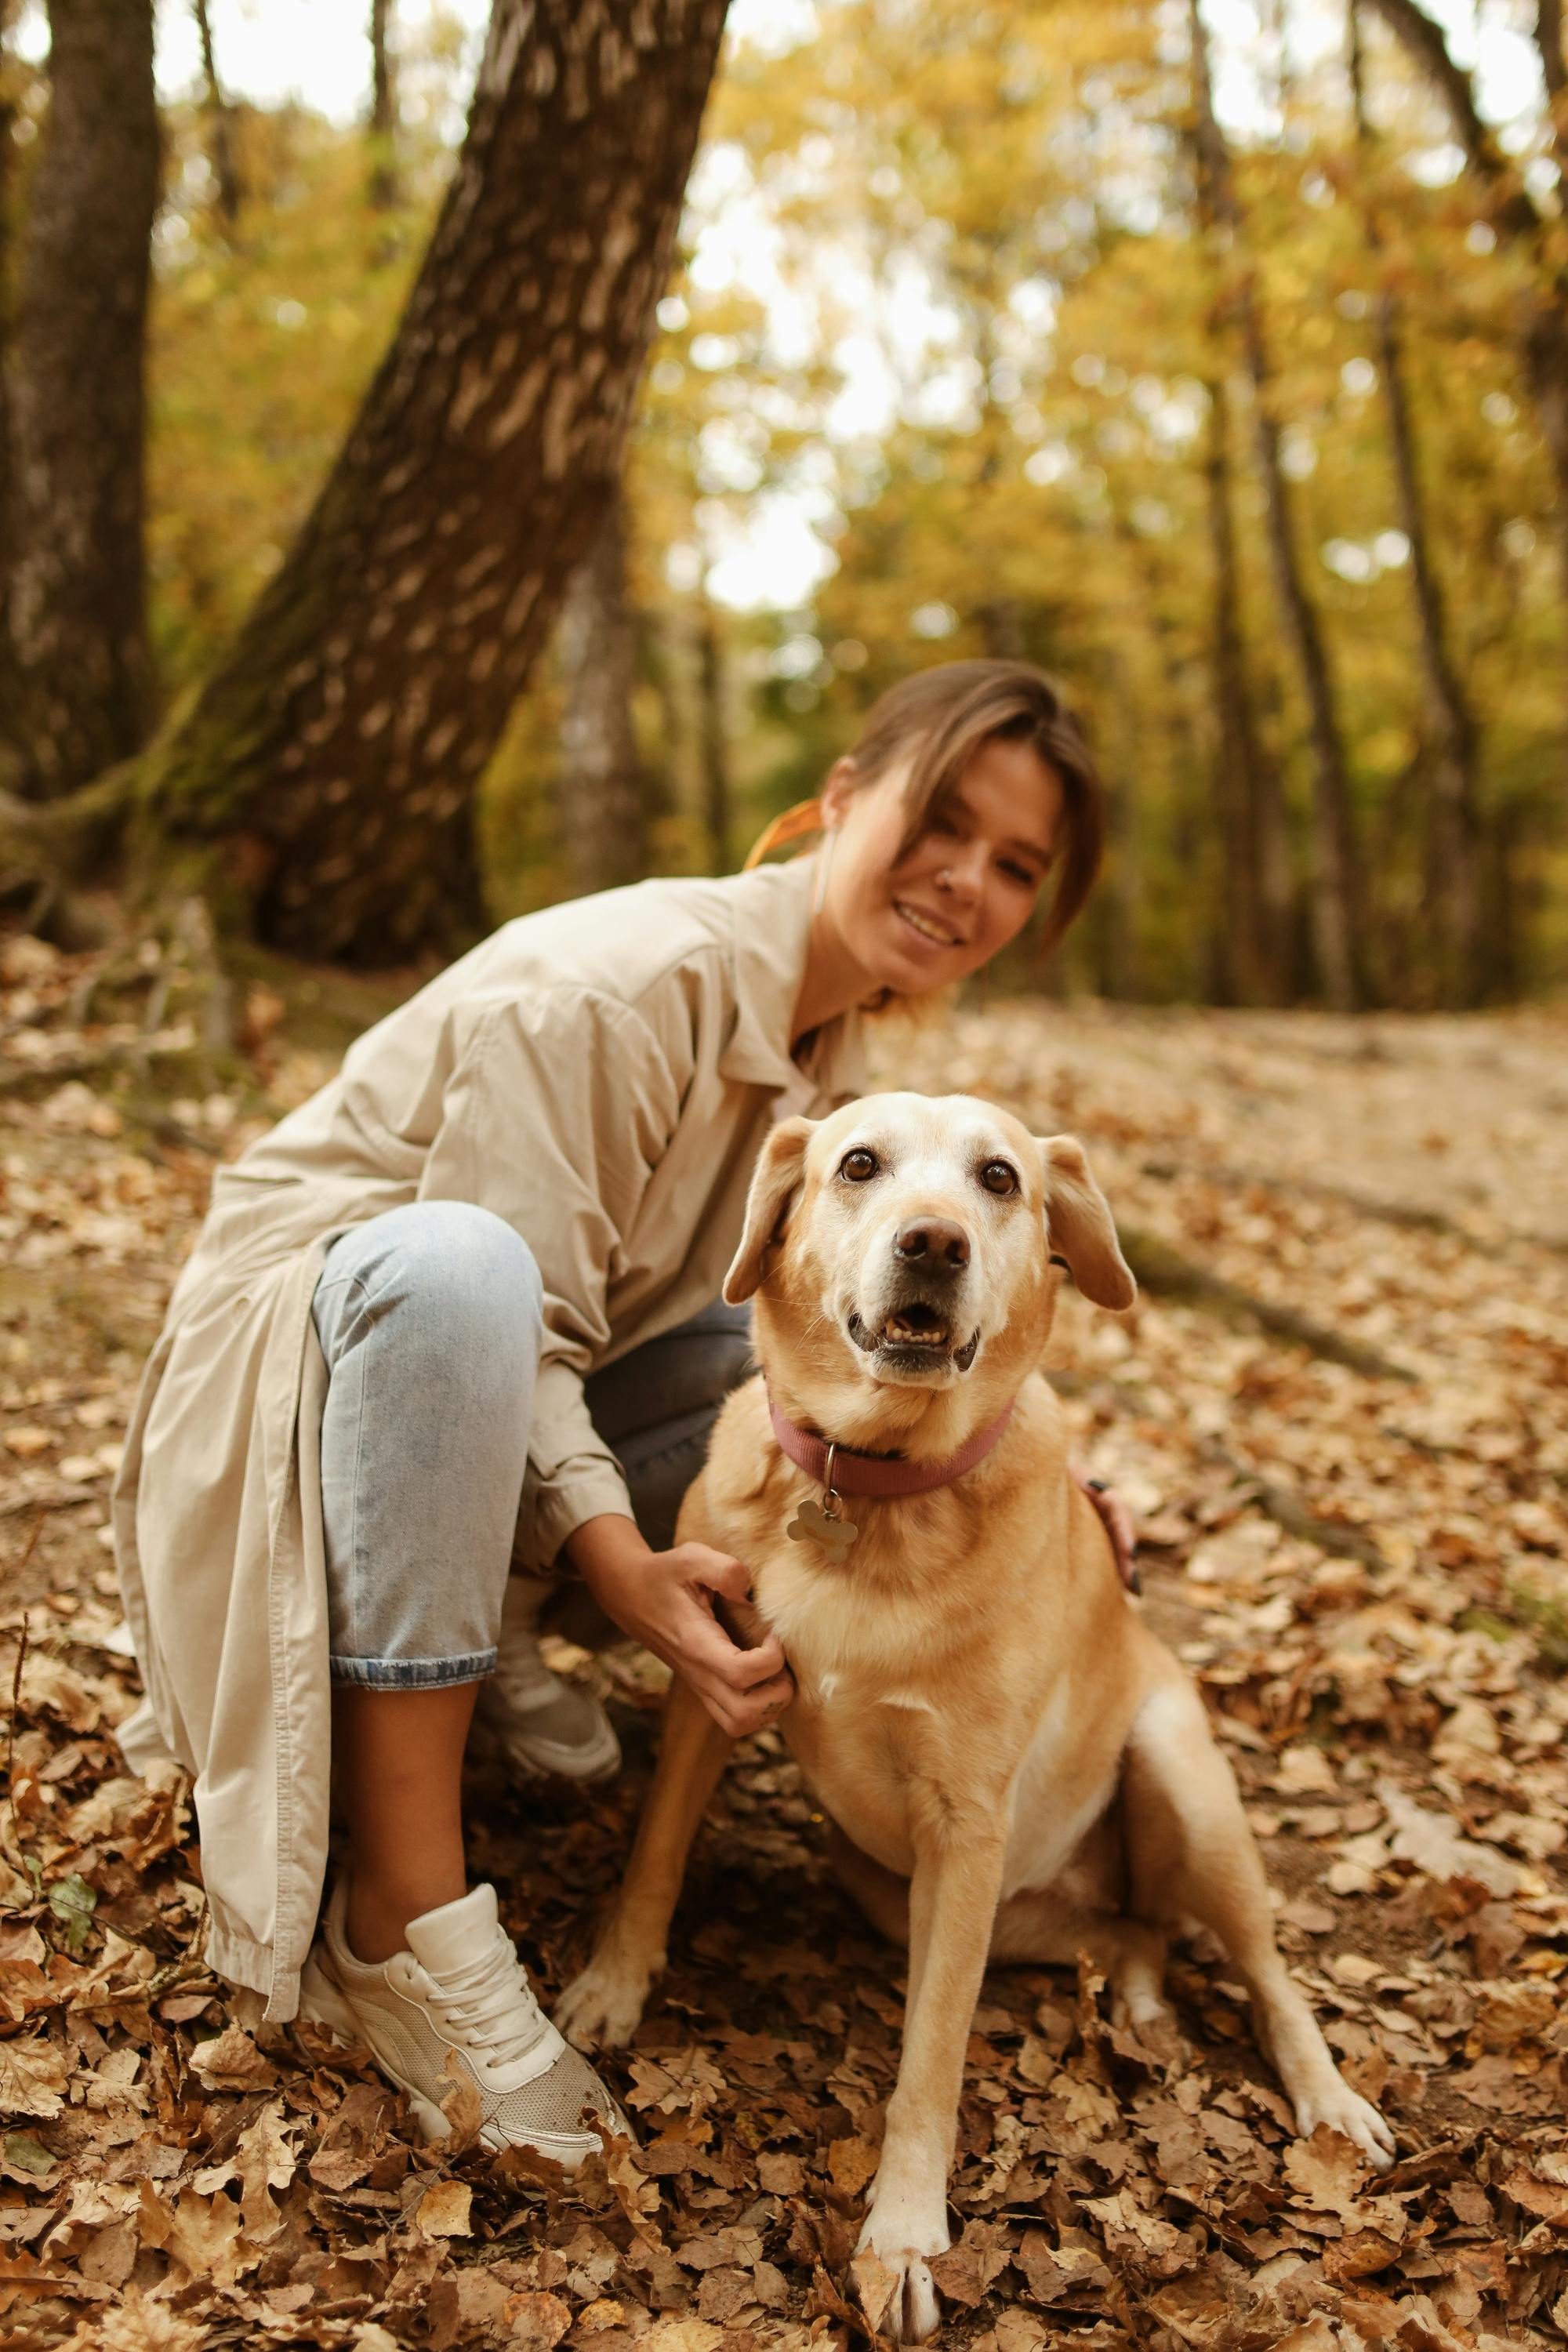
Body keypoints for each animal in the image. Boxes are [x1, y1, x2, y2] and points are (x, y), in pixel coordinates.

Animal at [557, 1096, 1392, 2333]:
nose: (934, 1243)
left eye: (998, 1179)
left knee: (1263, 1970)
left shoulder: (963, 1831)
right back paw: (1137, 2003)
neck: (869, 1484)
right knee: (1133, 1934)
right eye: (859, 1163)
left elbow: (931, 2060)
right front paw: (613, 1991)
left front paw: (903, 2238)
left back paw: (1327, 2099)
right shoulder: (706, 1689)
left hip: (1178, 1784)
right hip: (906, 1890)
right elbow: (654, 1856)